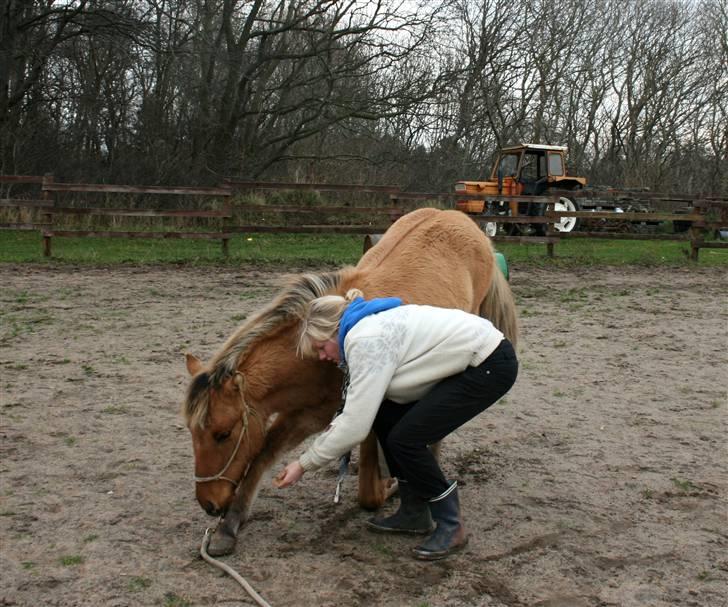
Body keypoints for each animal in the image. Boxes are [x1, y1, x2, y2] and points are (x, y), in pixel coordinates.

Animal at [182, 209, 516, 556]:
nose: (209, 504)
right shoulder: (308, 413)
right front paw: (229, 526)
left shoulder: (359, 408)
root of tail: (458, 216)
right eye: (192, 432)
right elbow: (263, 453)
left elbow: (369, 492)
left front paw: (392, 485)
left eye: (223, 434)